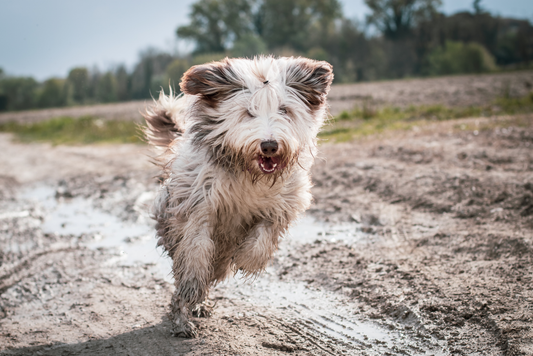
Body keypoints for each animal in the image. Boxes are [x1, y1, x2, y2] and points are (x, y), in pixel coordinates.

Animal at [141, 55, 332, 336]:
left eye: (284, 110)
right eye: (249, 112)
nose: (269, 145)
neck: (249, 173)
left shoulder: (283, 204)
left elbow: (264, 236)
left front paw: (246, 257)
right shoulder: (198, 204)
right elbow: (195, 250)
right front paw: (193, 288)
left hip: (220, 256)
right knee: (185, 277)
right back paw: (183, 318)